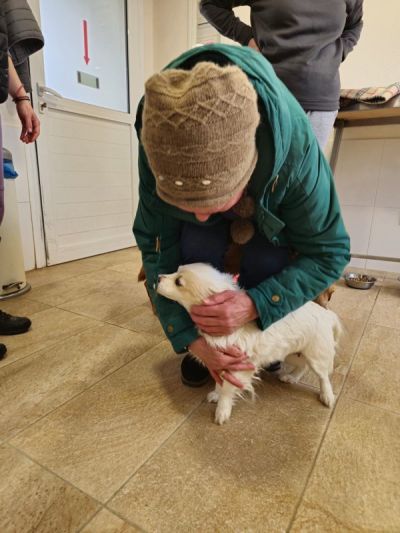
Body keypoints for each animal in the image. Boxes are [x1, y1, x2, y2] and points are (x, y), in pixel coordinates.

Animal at [157, 263, 342, 425]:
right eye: (175, 270)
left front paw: (222, 411)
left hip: (316, 354)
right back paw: (291, 377)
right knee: (303, 367)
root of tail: (328, 314)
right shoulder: (220, 360)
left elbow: (227, 390)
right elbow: (220, 383)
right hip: (290, 352)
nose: (158, 277)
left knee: (323, 376)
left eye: (178, 282)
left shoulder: (237, 366)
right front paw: (216, 394)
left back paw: (327, 396)